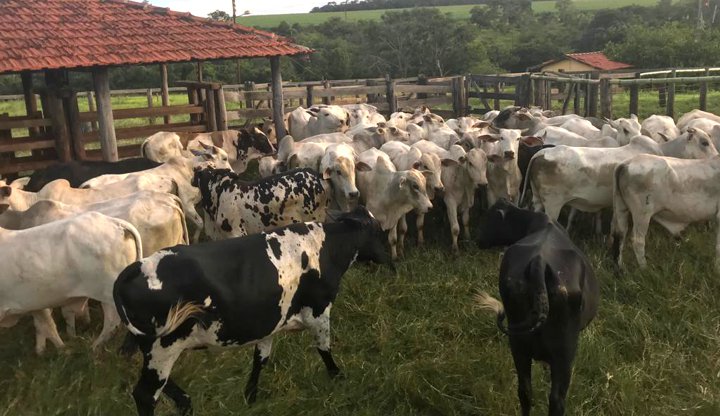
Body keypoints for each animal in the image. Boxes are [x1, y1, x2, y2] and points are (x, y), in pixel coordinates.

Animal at [0, 211, 143, 354]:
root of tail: (115, 222)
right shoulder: (34, 305)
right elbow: (44, 326)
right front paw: (42, 350)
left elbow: (48, 328)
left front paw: (62, 350)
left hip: (108, 294)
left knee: (112, 321)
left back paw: (94, 347)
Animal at [114, 208, 394, 416]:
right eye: (378, 230)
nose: (390, 261)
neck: (324, 248)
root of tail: (137, 267)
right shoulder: (318, 312)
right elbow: (324, 350)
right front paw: (338, 377)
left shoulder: (269, 321)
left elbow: (260, 359)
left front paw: (251, 395)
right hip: (164, 347)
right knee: (145, 394)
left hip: (153, 348)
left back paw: (186, 403)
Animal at [476, 199, 600, 416]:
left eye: (488, 217)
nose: (477, 239)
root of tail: (539, 262)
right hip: (564, 353)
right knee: (557, 400)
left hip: (518, 344)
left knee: (525, 391)